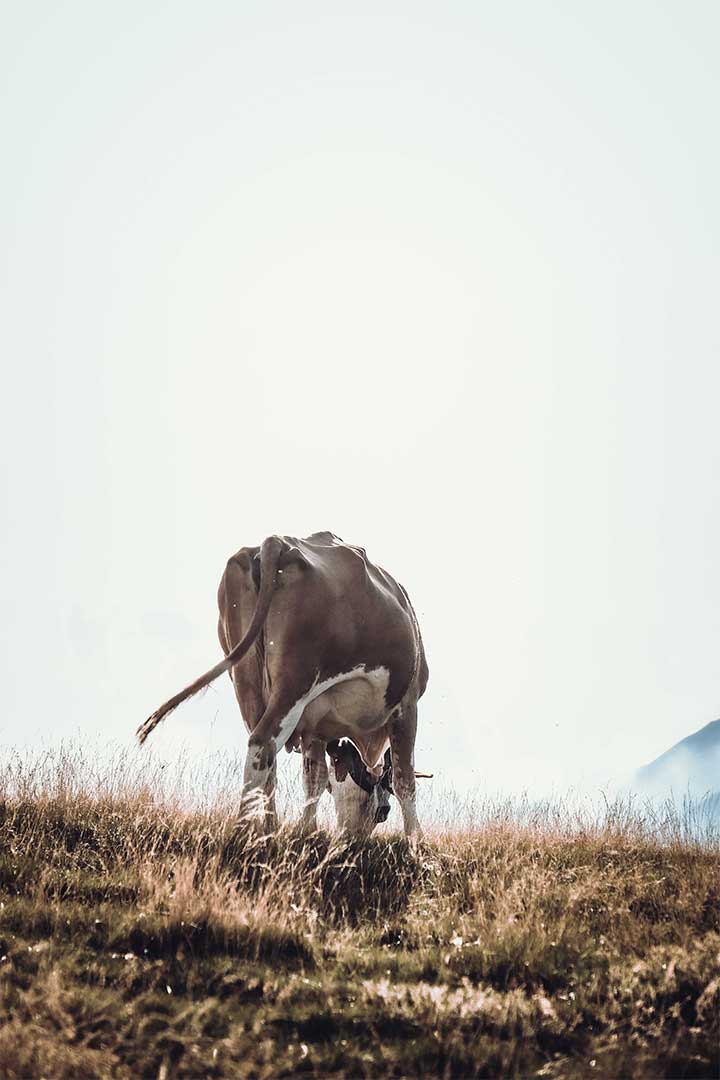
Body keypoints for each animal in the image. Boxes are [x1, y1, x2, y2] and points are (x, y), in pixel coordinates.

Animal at [137, 531, 429, 837]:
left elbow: (314, 779)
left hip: (246, 680)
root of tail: (279, 541)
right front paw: (415, 840)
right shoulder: (407, 705)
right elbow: (404, 778)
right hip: (295, 682)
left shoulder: (315, 726)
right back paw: (242, 831)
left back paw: (268, 828)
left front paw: (306, 829)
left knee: (265, 759)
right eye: (383, 813)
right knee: (263, 743)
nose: (349, 837)